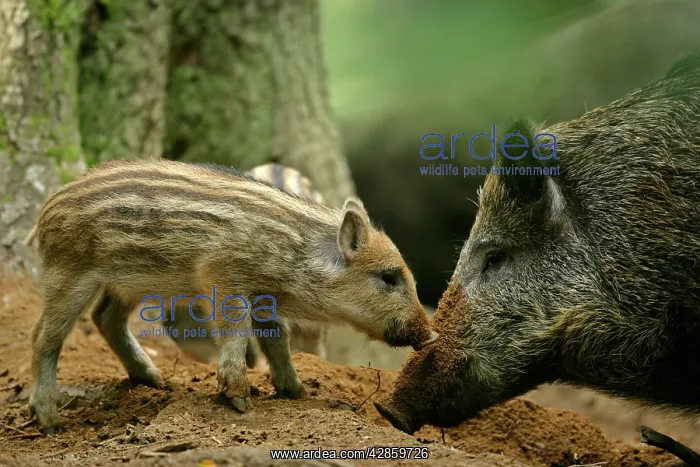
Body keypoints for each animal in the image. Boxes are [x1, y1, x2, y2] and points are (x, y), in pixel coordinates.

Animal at [25, 159, 438, 432]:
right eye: (388, 277)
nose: (432, 334)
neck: (295, 254)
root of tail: (44, 211)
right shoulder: (224, 279)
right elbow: (237, 333)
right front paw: (241, 402)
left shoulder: (265, 298)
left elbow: (275, 338)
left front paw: (297, 393)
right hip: (69, 272)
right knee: (44, 335)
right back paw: (49, 420)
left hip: (127, 282)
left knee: (104, 318)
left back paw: (155, 381)